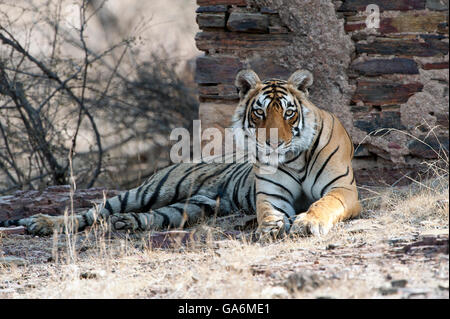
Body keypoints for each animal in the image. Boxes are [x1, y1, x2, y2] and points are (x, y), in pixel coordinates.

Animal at [0, 70, 362, 240]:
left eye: (288, 113)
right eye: (259, 113)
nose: (273, 144)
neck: (294, 158)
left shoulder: (343, 190)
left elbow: (322, 203)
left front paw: (307, 223)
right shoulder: (271, 196)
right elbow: (269, 212)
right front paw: (272, 228)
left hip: (190, 207)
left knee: (148, 217)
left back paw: (126, 223)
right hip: (150, 190)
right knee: (92, 211)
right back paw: (43, 222)